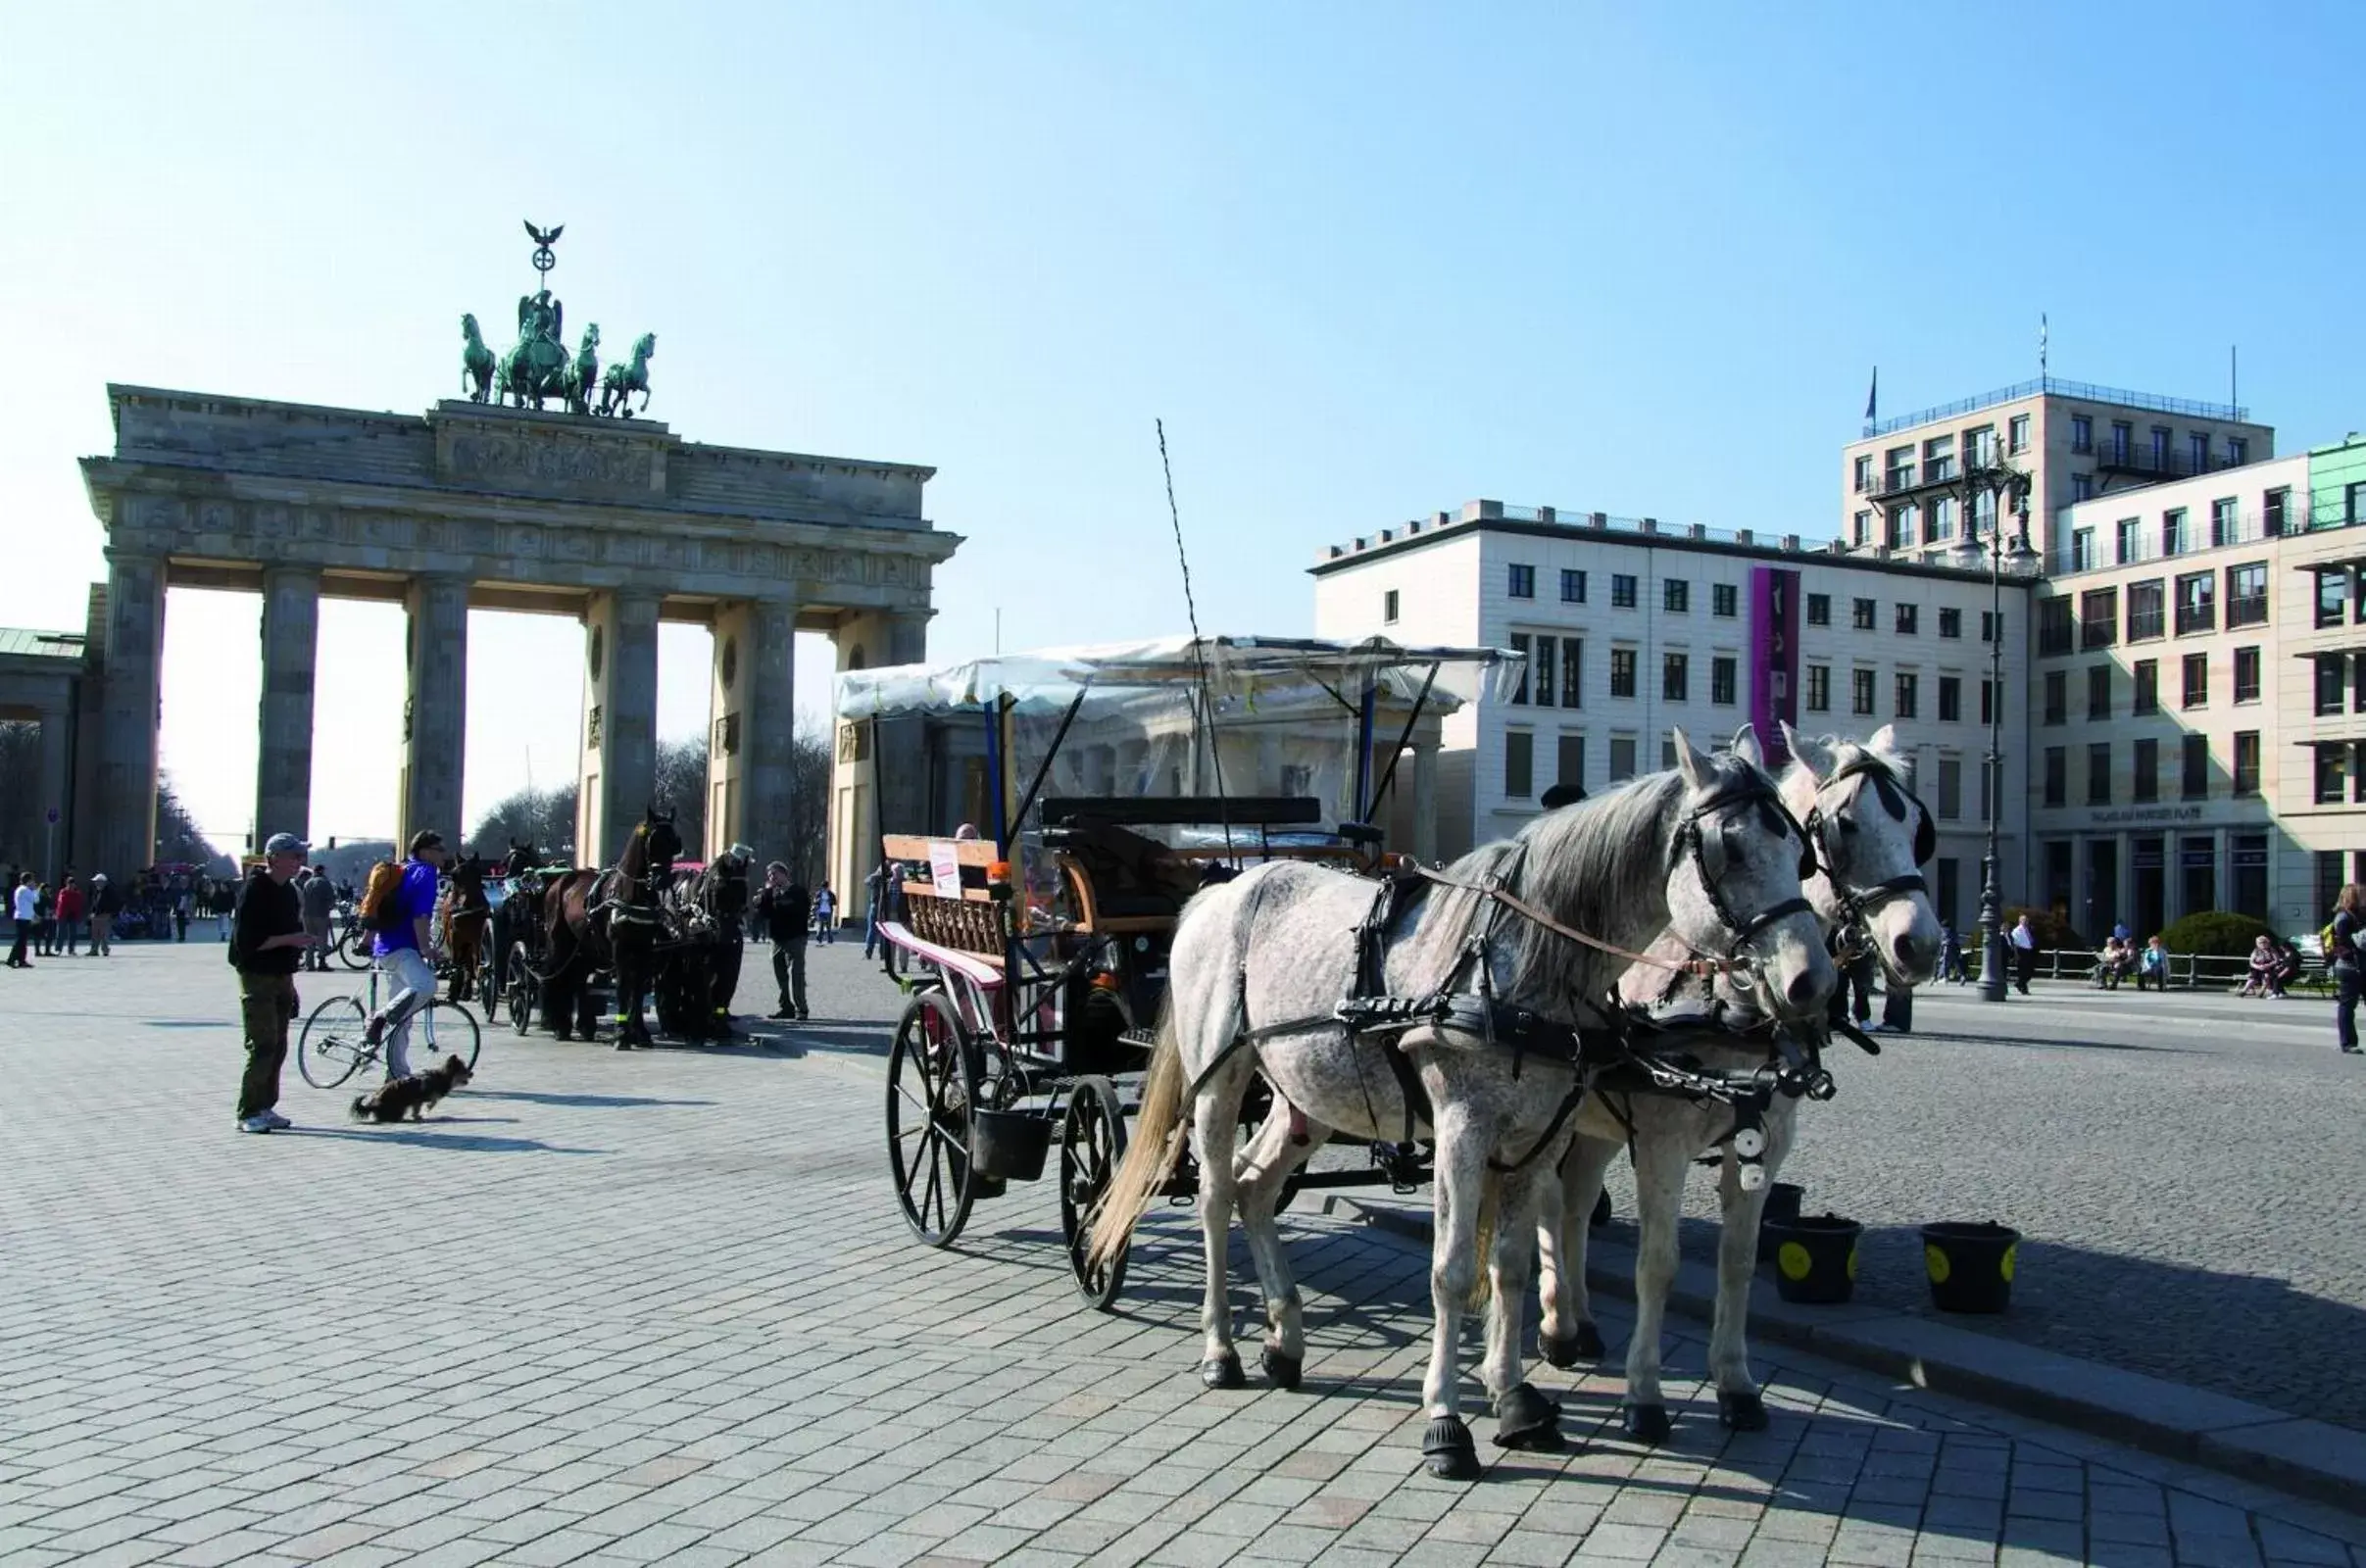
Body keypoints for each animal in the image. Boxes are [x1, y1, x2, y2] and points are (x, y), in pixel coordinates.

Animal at [350, 1054, 475, 1130]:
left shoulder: (417, 1101)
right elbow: (432, 1102)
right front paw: (423, 1112)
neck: (442, 1077)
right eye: (464, 1070)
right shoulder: (418, 1099)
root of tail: (374, 1103)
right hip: (399, 1107)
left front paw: (419, 1115)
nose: (472, 1073)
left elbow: (425, 1105)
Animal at [541, 808, 681, 1054]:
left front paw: (639, 1032)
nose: (662, 880)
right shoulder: (621, 950)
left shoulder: (645, 951)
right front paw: (622, 1035)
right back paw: (559, 1024)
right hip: (559, 942)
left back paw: (583, 1025)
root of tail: (559, 880)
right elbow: (624, 988)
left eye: (673, 842)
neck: (632, 895)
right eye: (653, 841)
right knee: (558, 973)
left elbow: (638, 990)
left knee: (578, 978)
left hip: (585, 947)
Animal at [1083, 728, 1836, 1475]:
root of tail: (1222, 890)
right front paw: (1446, 1420)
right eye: (1730, 849)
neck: (1522, 960)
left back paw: (1284, 1337)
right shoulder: (1467, 1131)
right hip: (1221, 1079)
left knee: (1255, 1190)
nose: (1812, 982)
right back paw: (1221, 1349)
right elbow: (1450, 1271)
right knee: (1214, 1197)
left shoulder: (1539, 1137)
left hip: (1305, 1099)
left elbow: (1511, 1267)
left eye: (1801, 851)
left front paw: (1514, 1399)